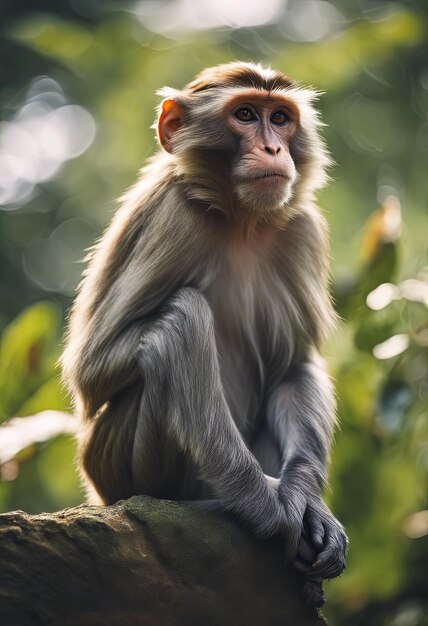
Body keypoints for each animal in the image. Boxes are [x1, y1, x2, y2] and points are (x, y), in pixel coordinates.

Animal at [61, 61, 348, 604]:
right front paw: (263, 505)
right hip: (114, 463)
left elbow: (294, 364)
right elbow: (90, 373)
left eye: (280, 118)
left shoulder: (302, 229)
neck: (240, 220)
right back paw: (211, 506)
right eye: (245, 115)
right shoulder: (173, 217)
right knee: (183, 314)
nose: (274, 149)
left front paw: (306, 501)